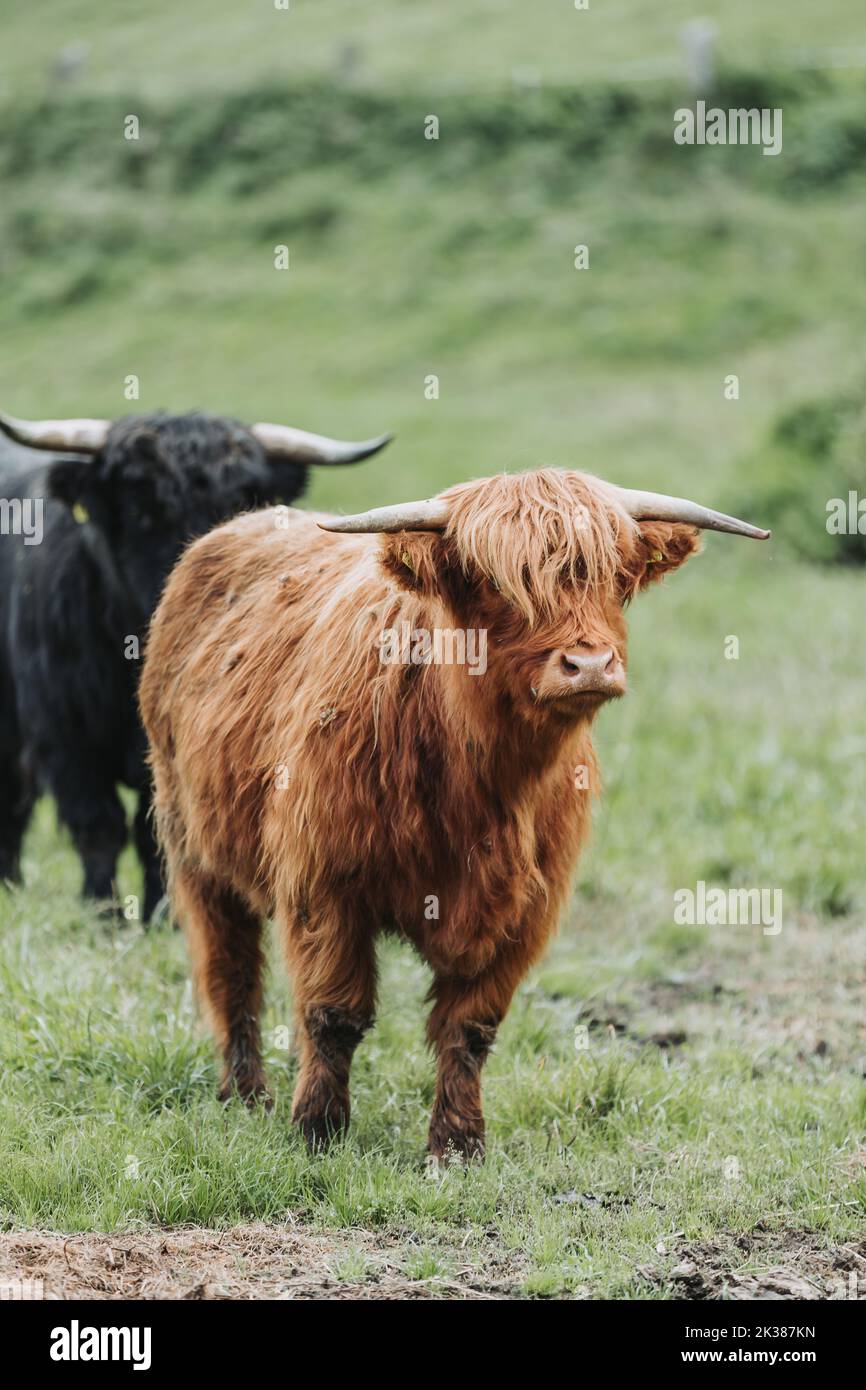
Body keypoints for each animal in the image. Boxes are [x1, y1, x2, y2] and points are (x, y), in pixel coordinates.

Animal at [0, 406, 391, 920]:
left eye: (240, 505)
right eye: (141, 510)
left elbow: (153, 835)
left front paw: (161, 913)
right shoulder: (66, 737)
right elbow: (98, 826)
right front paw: (102, 912)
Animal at [139, 468, 768, 1158]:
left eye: (612, 578)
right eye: (498, 582)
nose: (589, 665)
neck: (482, 782)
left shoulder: (526, 911)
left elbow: (469, 1028)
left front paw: (458, 1144)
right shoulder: (324, 884)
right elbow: (334, 1014)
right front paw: (318, 1130)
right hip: (193, 846)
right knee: (230, 969)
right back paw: (246, 1094)